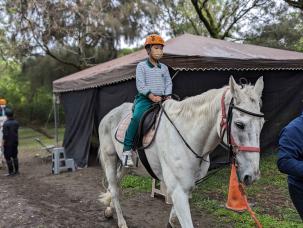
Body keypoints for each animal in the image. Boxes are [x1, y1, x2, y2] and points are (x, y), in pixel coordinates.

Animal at [98, 76, 264, 228]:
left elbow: (174, 216)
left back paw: (109, 209)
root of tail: (109, 114)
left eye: (262, 123)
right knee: (114, 188)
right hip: (110, 159)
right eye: (239, 124)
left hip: (125, 165)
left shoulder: (188, 187)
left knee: (116, 185)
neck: (187, 136)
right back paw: (121, 222)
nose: (253, 175)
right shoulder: (178, 190)